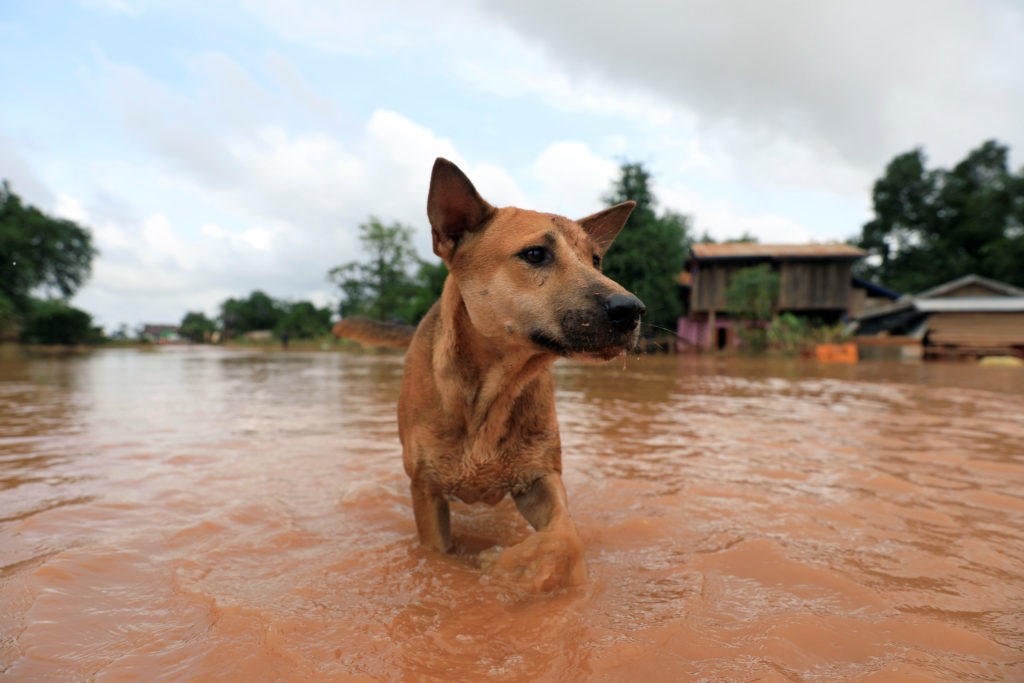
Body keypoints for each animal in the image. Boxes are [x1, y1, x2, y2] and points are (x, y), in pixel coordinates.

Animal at [331, 160, 643, 593]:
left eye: (596, 259)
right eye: (535, 254)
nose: (632, 310)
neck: (494, 390)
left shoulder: (540, 477)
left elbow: (566, 538)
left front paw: (512, 564)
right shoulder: (426, 491)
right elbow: (438, 553)